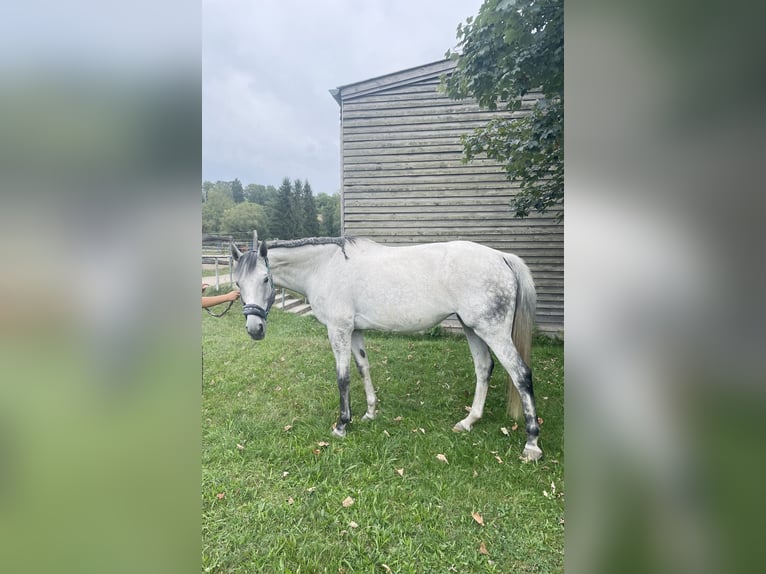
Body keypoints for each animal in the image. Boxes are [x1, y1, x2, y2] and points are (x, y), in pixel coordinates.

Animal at [234, 236, 544, 462]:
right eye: (238, 283)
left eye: (265, 279)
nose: (254, 329)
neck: (323, 268)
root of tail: (502, 257)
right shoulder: (355, 331)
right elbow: (363, 368)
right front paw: (370, 413)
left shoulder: (339, 330)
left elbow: (343, 377)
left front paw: (342, 424)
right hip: (472, 328)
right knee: (484, 368)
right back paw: (469, 421)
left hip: (493, 331)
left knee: (521, 375)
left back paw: (531, 444)